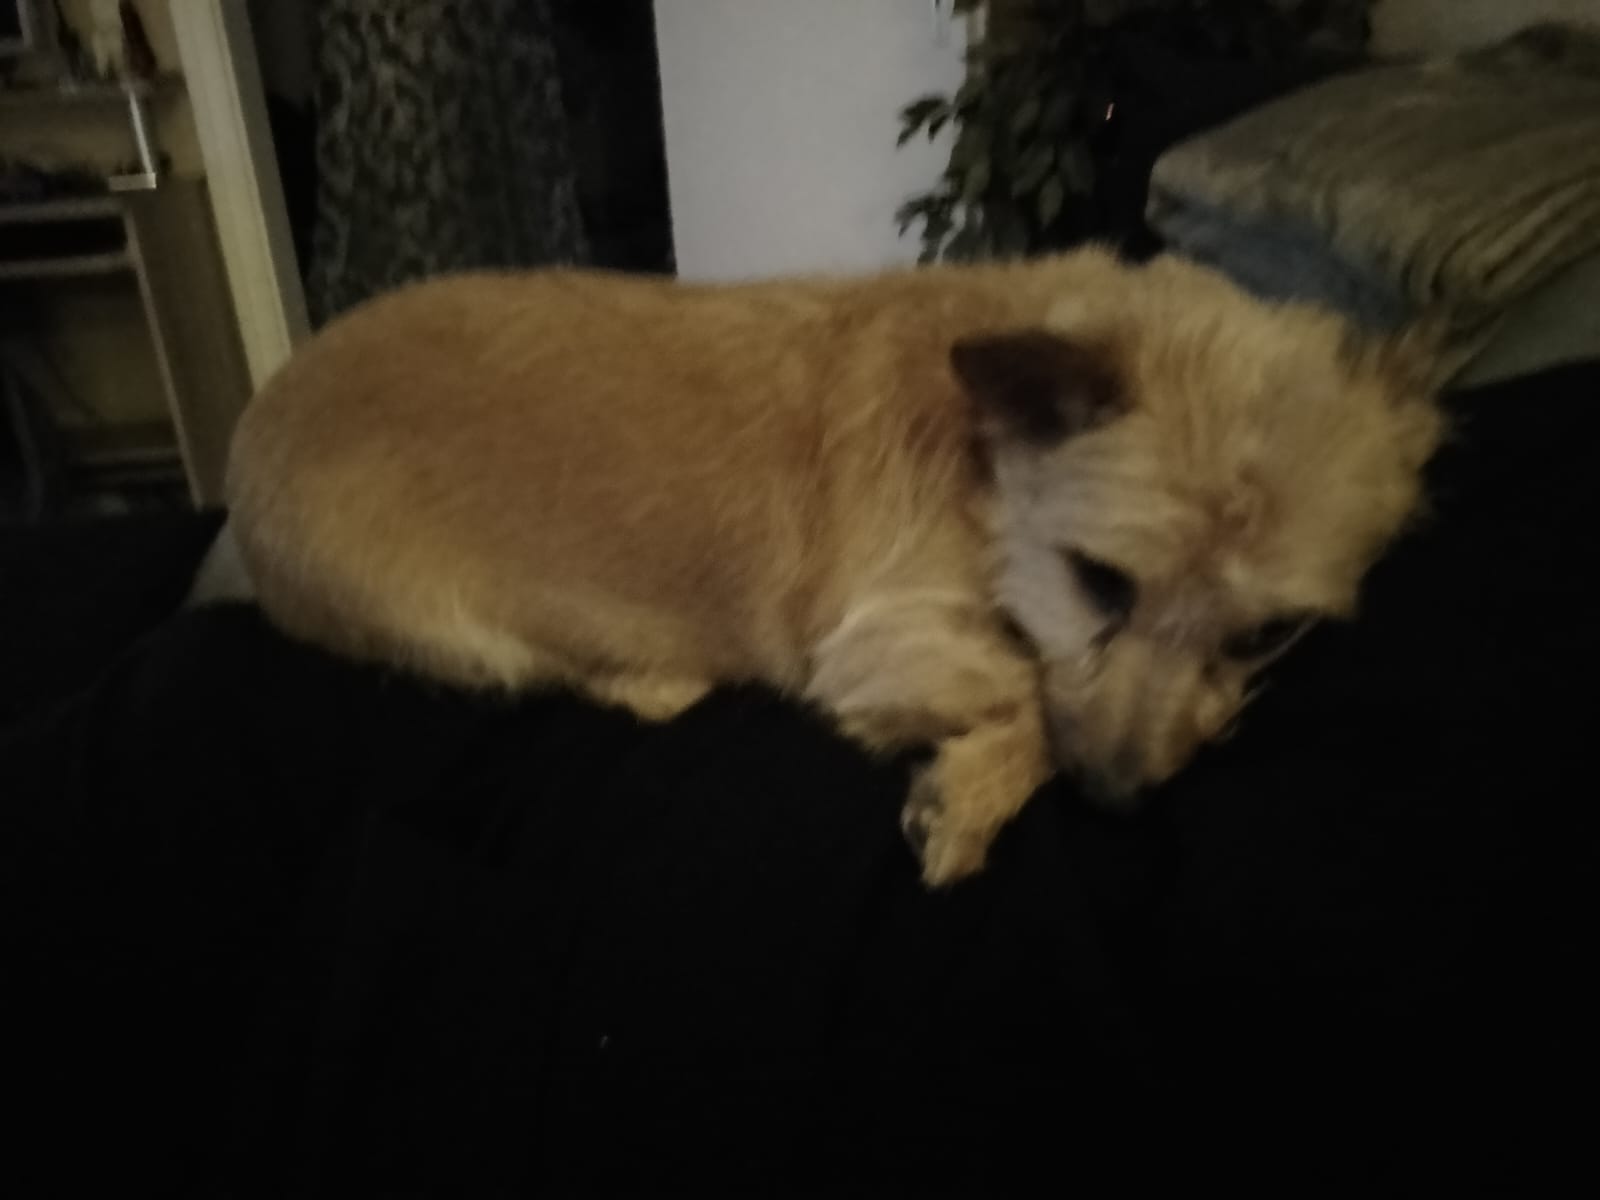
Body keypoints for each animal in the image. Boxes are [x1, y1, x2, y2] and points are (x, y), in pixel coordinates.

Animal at [227, 249, 1443, 885]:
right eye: (1101, 583)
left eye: (1264, 635)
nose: (1116, 802)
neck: (980, 457)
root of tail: (256, 422)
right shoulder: (879, 638)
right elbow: (1029, 687)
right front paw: (974, 794)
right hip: (459, 636)